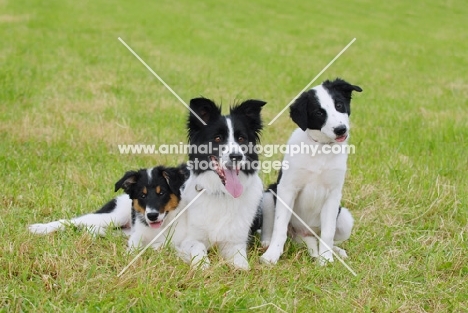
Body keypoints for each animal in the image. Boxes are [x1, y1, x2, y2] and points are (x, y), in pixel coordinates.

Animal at [27, 165, 187, 250]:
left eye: (162, 193)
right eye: (142, 195)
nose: (152, 216)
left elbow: (160, 245)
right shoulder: (138, 233)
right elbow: (135, 246)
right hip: (114, 216)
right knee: (74, 221)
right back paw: (40, 228)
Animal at [260, 78, 362, 266]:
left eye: (339, 105)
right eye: (319, 113)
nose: (341, 129)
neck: (321, 148)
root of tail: (305, 235)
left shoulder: (333, 195)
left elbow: (328, 233)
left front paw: (326, 259)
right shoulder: (287, 189)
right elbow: (280, 227)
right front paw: (272, 255)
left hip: (345, 218)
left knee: (324, 237)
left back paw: (335, 251)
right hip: (270, 195)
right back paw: (266, 243)